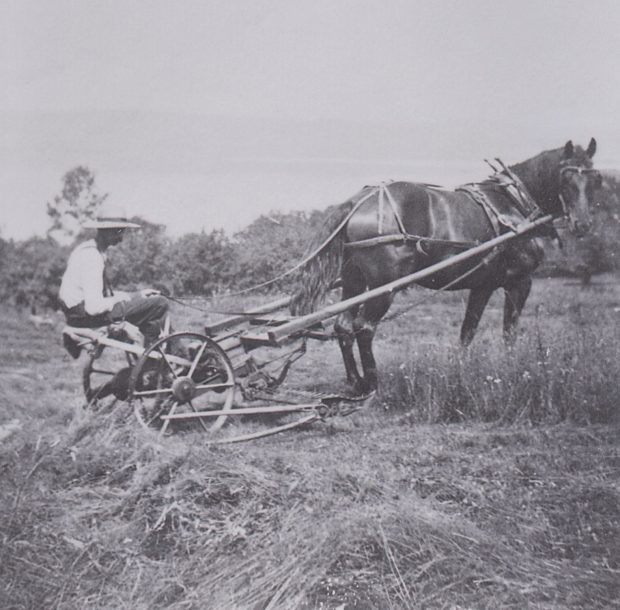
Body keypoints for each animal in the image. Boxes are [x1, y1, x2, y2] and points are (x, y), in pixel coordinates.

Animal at [290, 139, 600, 394]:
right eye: (566, 177)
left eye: (594, 179)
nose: (583, 224)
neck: (515, 205)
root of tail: (355, 203)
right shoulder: (520, 282)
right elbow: (509, 331)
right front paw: (513, 367)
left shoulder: (483, 285)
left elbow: (467, 331)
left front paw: (460, 371)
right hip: (383, 286)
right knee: (364, 328)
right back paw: (373, 383)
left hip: (354, 280)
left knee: (343, 327)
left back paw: (355, 381)